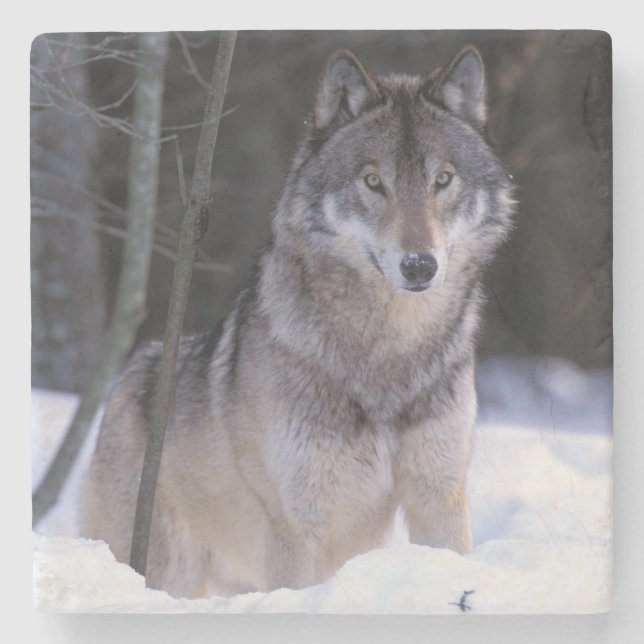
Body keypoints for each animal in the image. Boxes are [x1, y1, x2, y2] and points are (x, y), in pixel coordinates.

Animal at [82, 44, 514, 599]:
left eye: (442, 179)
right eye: (373, 182)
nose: (420, 265)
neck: (388, 355)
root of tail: (131, 372)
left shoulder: (439, 495)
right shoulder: (298, 523)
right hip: (168, 569)